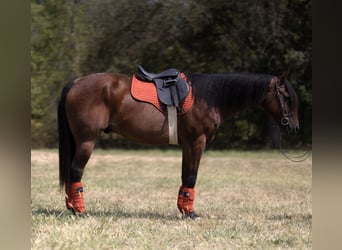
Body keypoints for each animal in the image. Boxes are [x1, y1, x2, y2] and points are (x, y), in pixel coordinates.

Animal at [57, 66, 298, 219]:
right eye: (286, 97)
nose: (294, 127)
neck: (208, 97)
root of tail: (76, 82)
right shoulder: (196, 142)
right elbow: (191, 176)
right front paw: (190, 213)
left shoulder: (188, 145)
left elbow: (185, 177)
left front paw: (184, 210)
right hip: (87, 141)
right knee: (76, 171)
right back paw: (80, 211)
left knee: (71, 173)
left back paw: (72, 207)